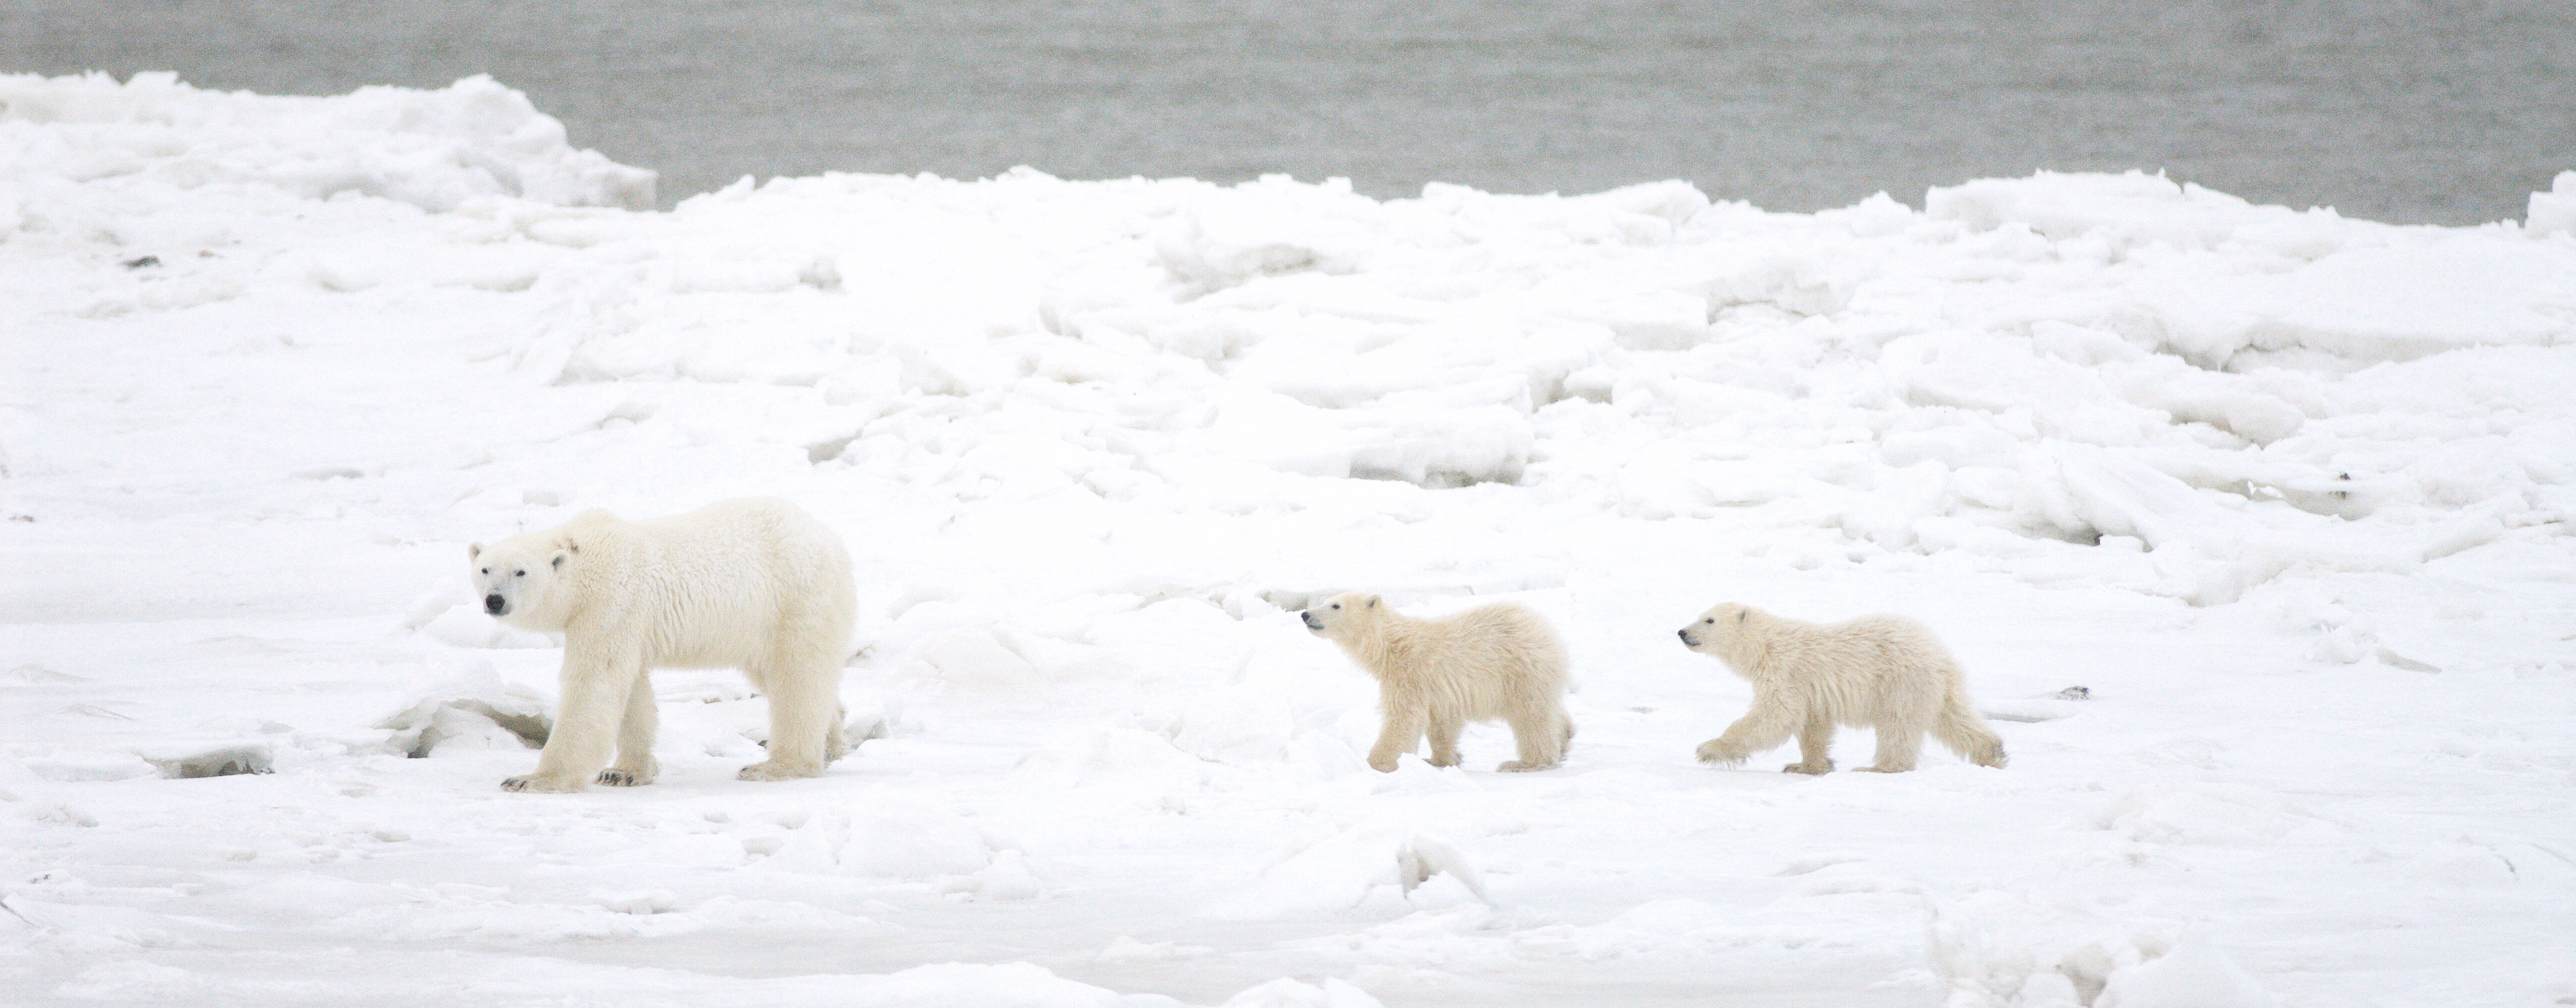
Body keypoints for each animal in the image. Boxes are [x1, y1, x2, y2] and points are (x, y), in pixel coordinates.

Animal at [468, 500, 860, 794]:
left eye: (521, 572)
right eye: (485, 569)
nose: (495, 601)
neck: (588, 559)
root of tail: (831, 539)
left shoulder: (611, 603)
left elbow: (594, 684)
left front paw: (530, 780)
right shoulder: (627, 623)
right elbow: (631, 690)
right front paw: (623, 772)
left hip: (795, 599)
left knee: (797, 678)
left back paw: (776, 766)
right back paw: (831, 745)